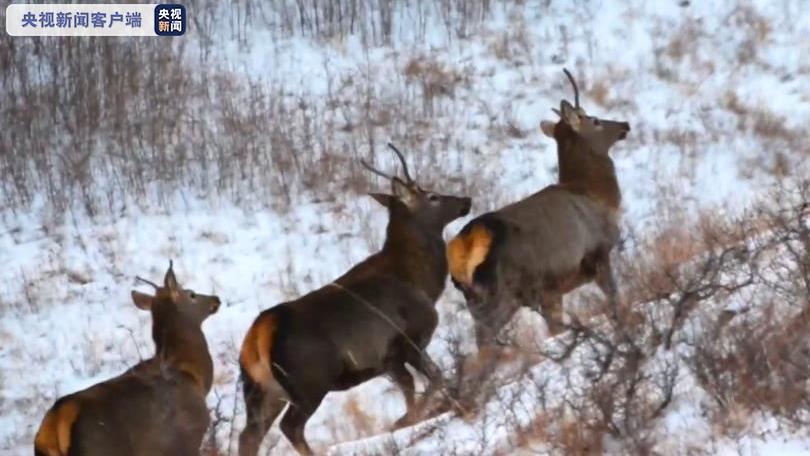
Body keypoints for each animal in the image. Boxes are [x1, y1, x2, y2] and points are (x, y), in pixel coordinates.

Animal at [237, 143, 470, 456]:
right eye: (432, 196)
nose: (465, 200)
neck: (422, 283)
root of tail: (257, 338)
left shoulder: (391, 358)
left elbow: (416, 383)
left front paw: (405, 420)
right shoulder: (405, 341)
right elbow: (428, 380)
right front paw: (403, 421)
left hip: (260, 391)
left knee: (249, 435)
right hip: (309, 382)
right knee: (290, 427)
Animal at [446, 69, 628, 350]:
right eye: (595, 120)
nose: (624, 125)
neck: (595, 196)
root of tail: (463, 249)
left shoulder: (553, 289)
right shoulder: (597, 252)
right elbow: (613, 301)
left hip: (478, 301)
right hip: (501, 294)